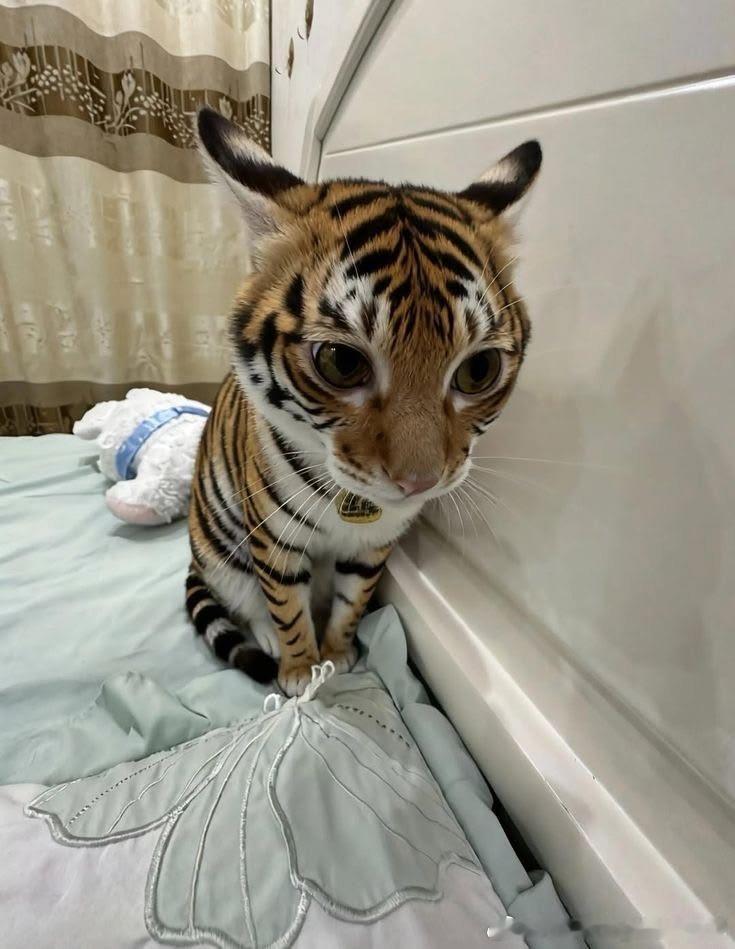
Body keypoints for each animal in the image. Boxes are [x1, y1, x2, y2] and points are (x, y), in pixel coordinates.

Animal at [187, 106, 541, 696]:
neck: (353, 508)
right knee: (243, 600)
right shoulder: (275, 540)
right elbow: (285, 606)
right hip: (219, 551)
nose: (419, 482)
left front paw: (338, 654)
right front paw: (301, 672)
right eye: (342, 363)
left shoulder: (376, 543)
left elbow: (352, 602)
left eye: (479, 370)